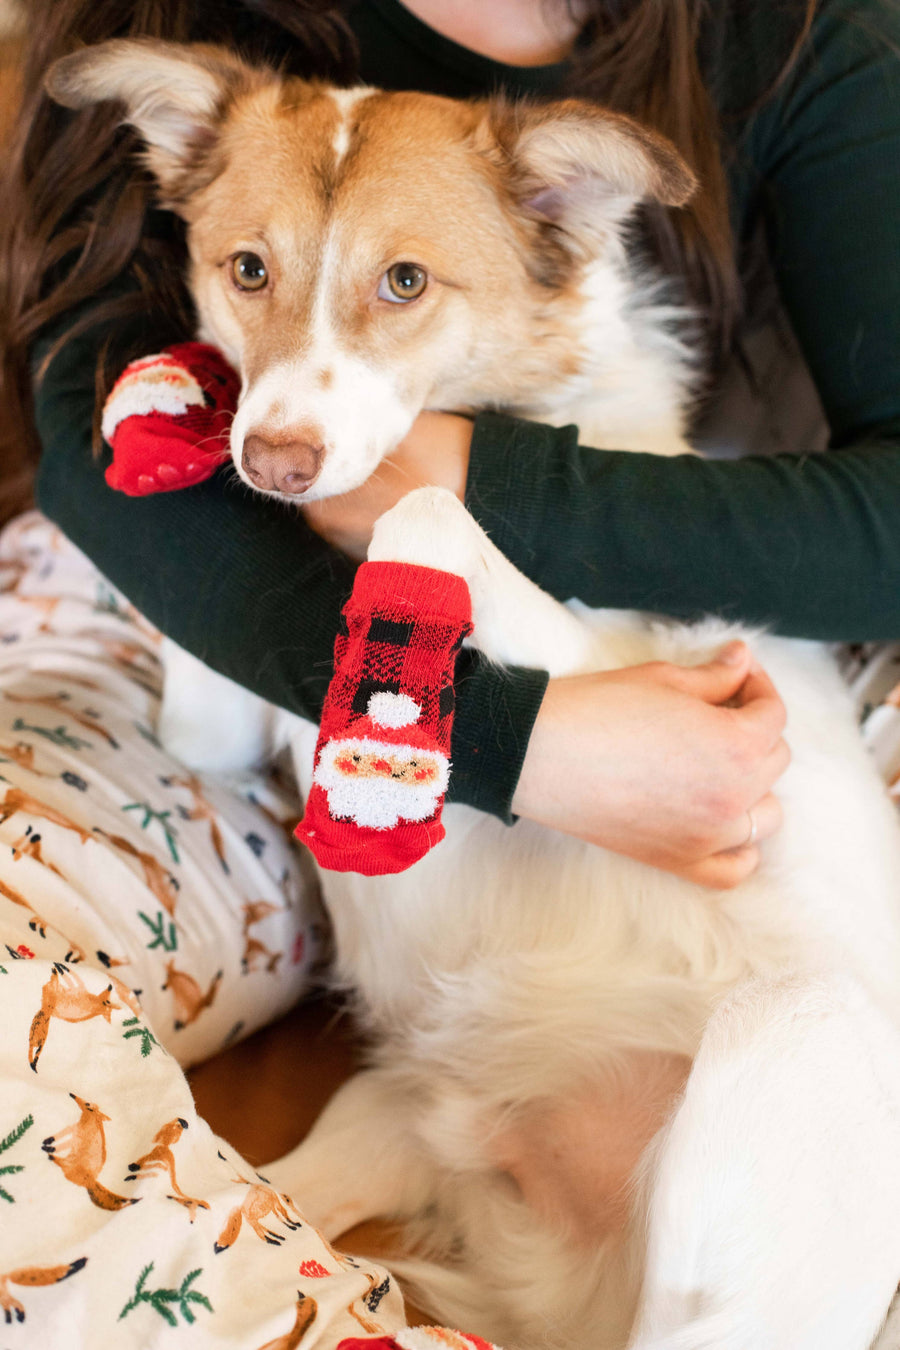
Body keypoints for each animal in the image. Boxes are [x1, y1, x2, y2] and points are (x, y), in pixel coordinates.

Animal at [49, 42, 900, 1350]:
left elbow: (428, 506)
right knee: (281, 1200)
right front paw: (164, 411)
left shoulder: (643, 671)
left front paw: (387, 735)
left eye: (404, 282)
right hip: (384, 1118)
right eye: (248, 269)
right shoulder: (212, 721)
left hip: (794, 1038)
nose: (275, 461)